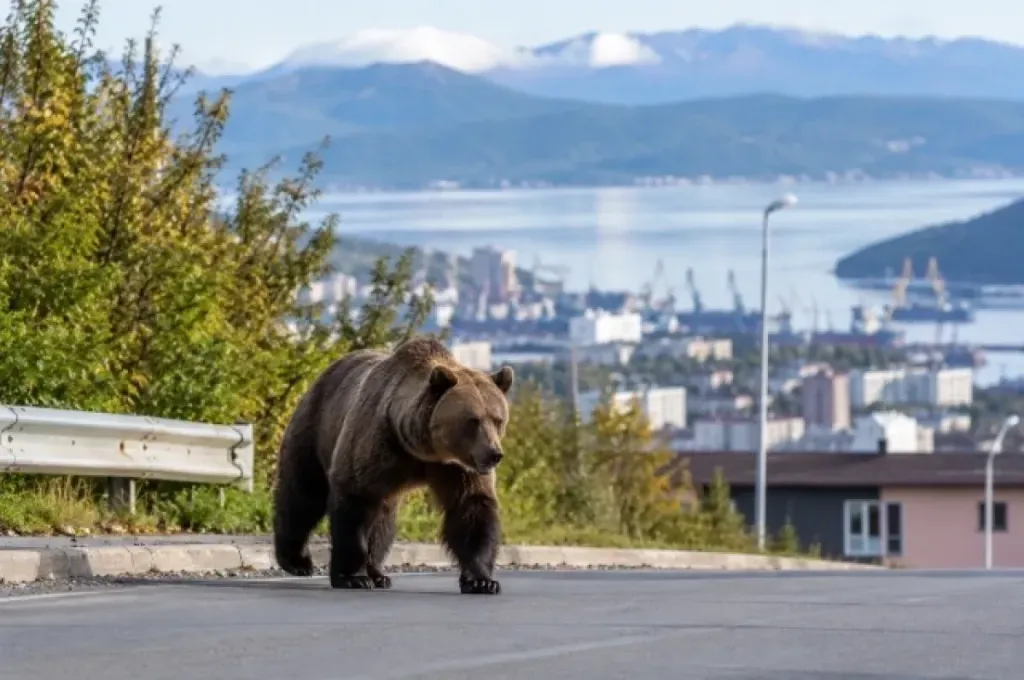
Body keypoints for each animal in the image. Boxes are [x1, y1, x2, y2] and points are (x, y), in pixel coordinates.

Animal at [271, 335, 515, 595]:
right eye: (473, 420)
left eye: (498, 419)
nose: (494, 454)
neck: (425, 450)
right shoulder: (377, 442)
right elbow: (354, 500)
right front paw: (352, 577)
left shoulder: (458, 467)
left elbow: (472, 509)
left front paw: (482, 580)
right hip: (316, 428)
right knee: (303, 494)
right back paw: (297, 560)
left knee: (383, 521)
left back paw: (378, 574)